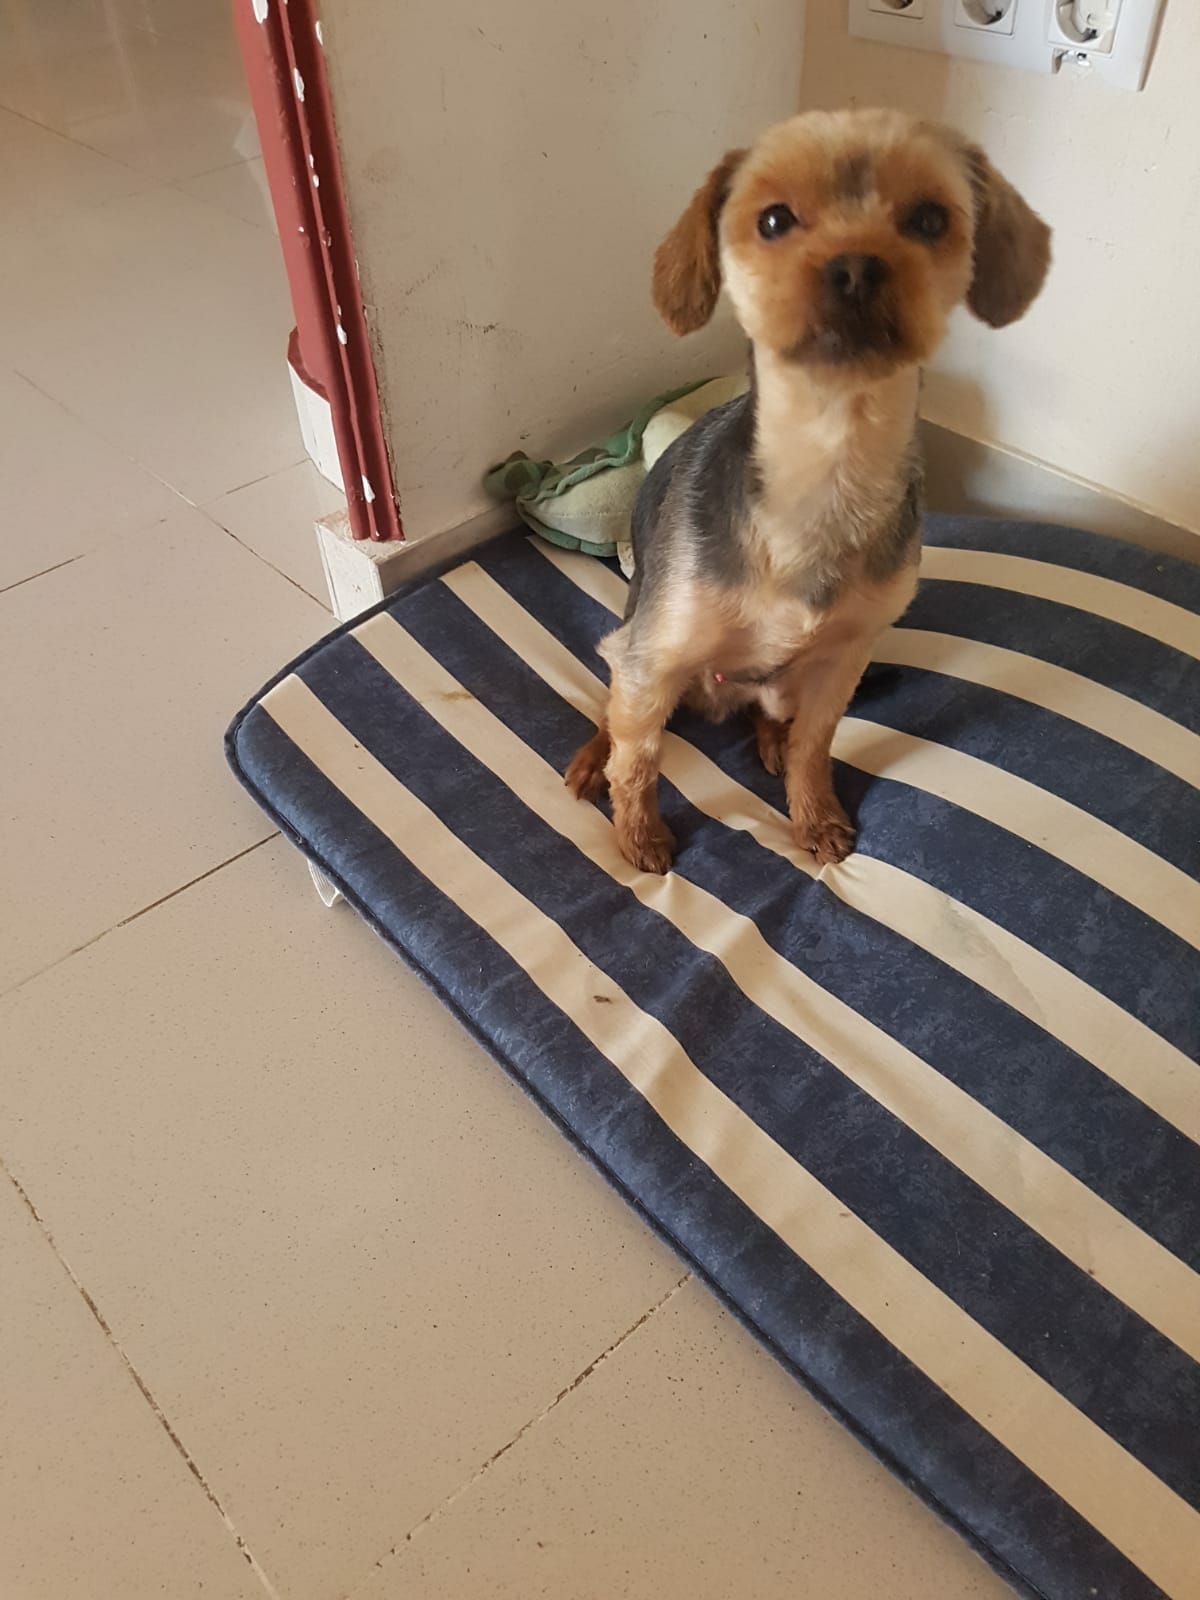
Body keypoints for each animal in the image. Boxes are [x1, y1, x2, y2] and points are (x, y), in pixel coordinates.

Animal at [565, 108, 1051, 874]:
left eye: (929, 218)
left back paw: (767, 740)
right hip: (636, 641)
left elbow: (814, 745)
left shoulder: (842, 660)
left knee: (774, 715)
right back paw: (594, 755)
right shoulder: (654, 658)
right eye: (773, 220)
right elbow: (638, 760)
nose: (855, 266)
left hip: (785, 676)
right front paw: (638, 836)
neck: (828, 464)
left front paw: (814, 815)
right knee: (614, 702)